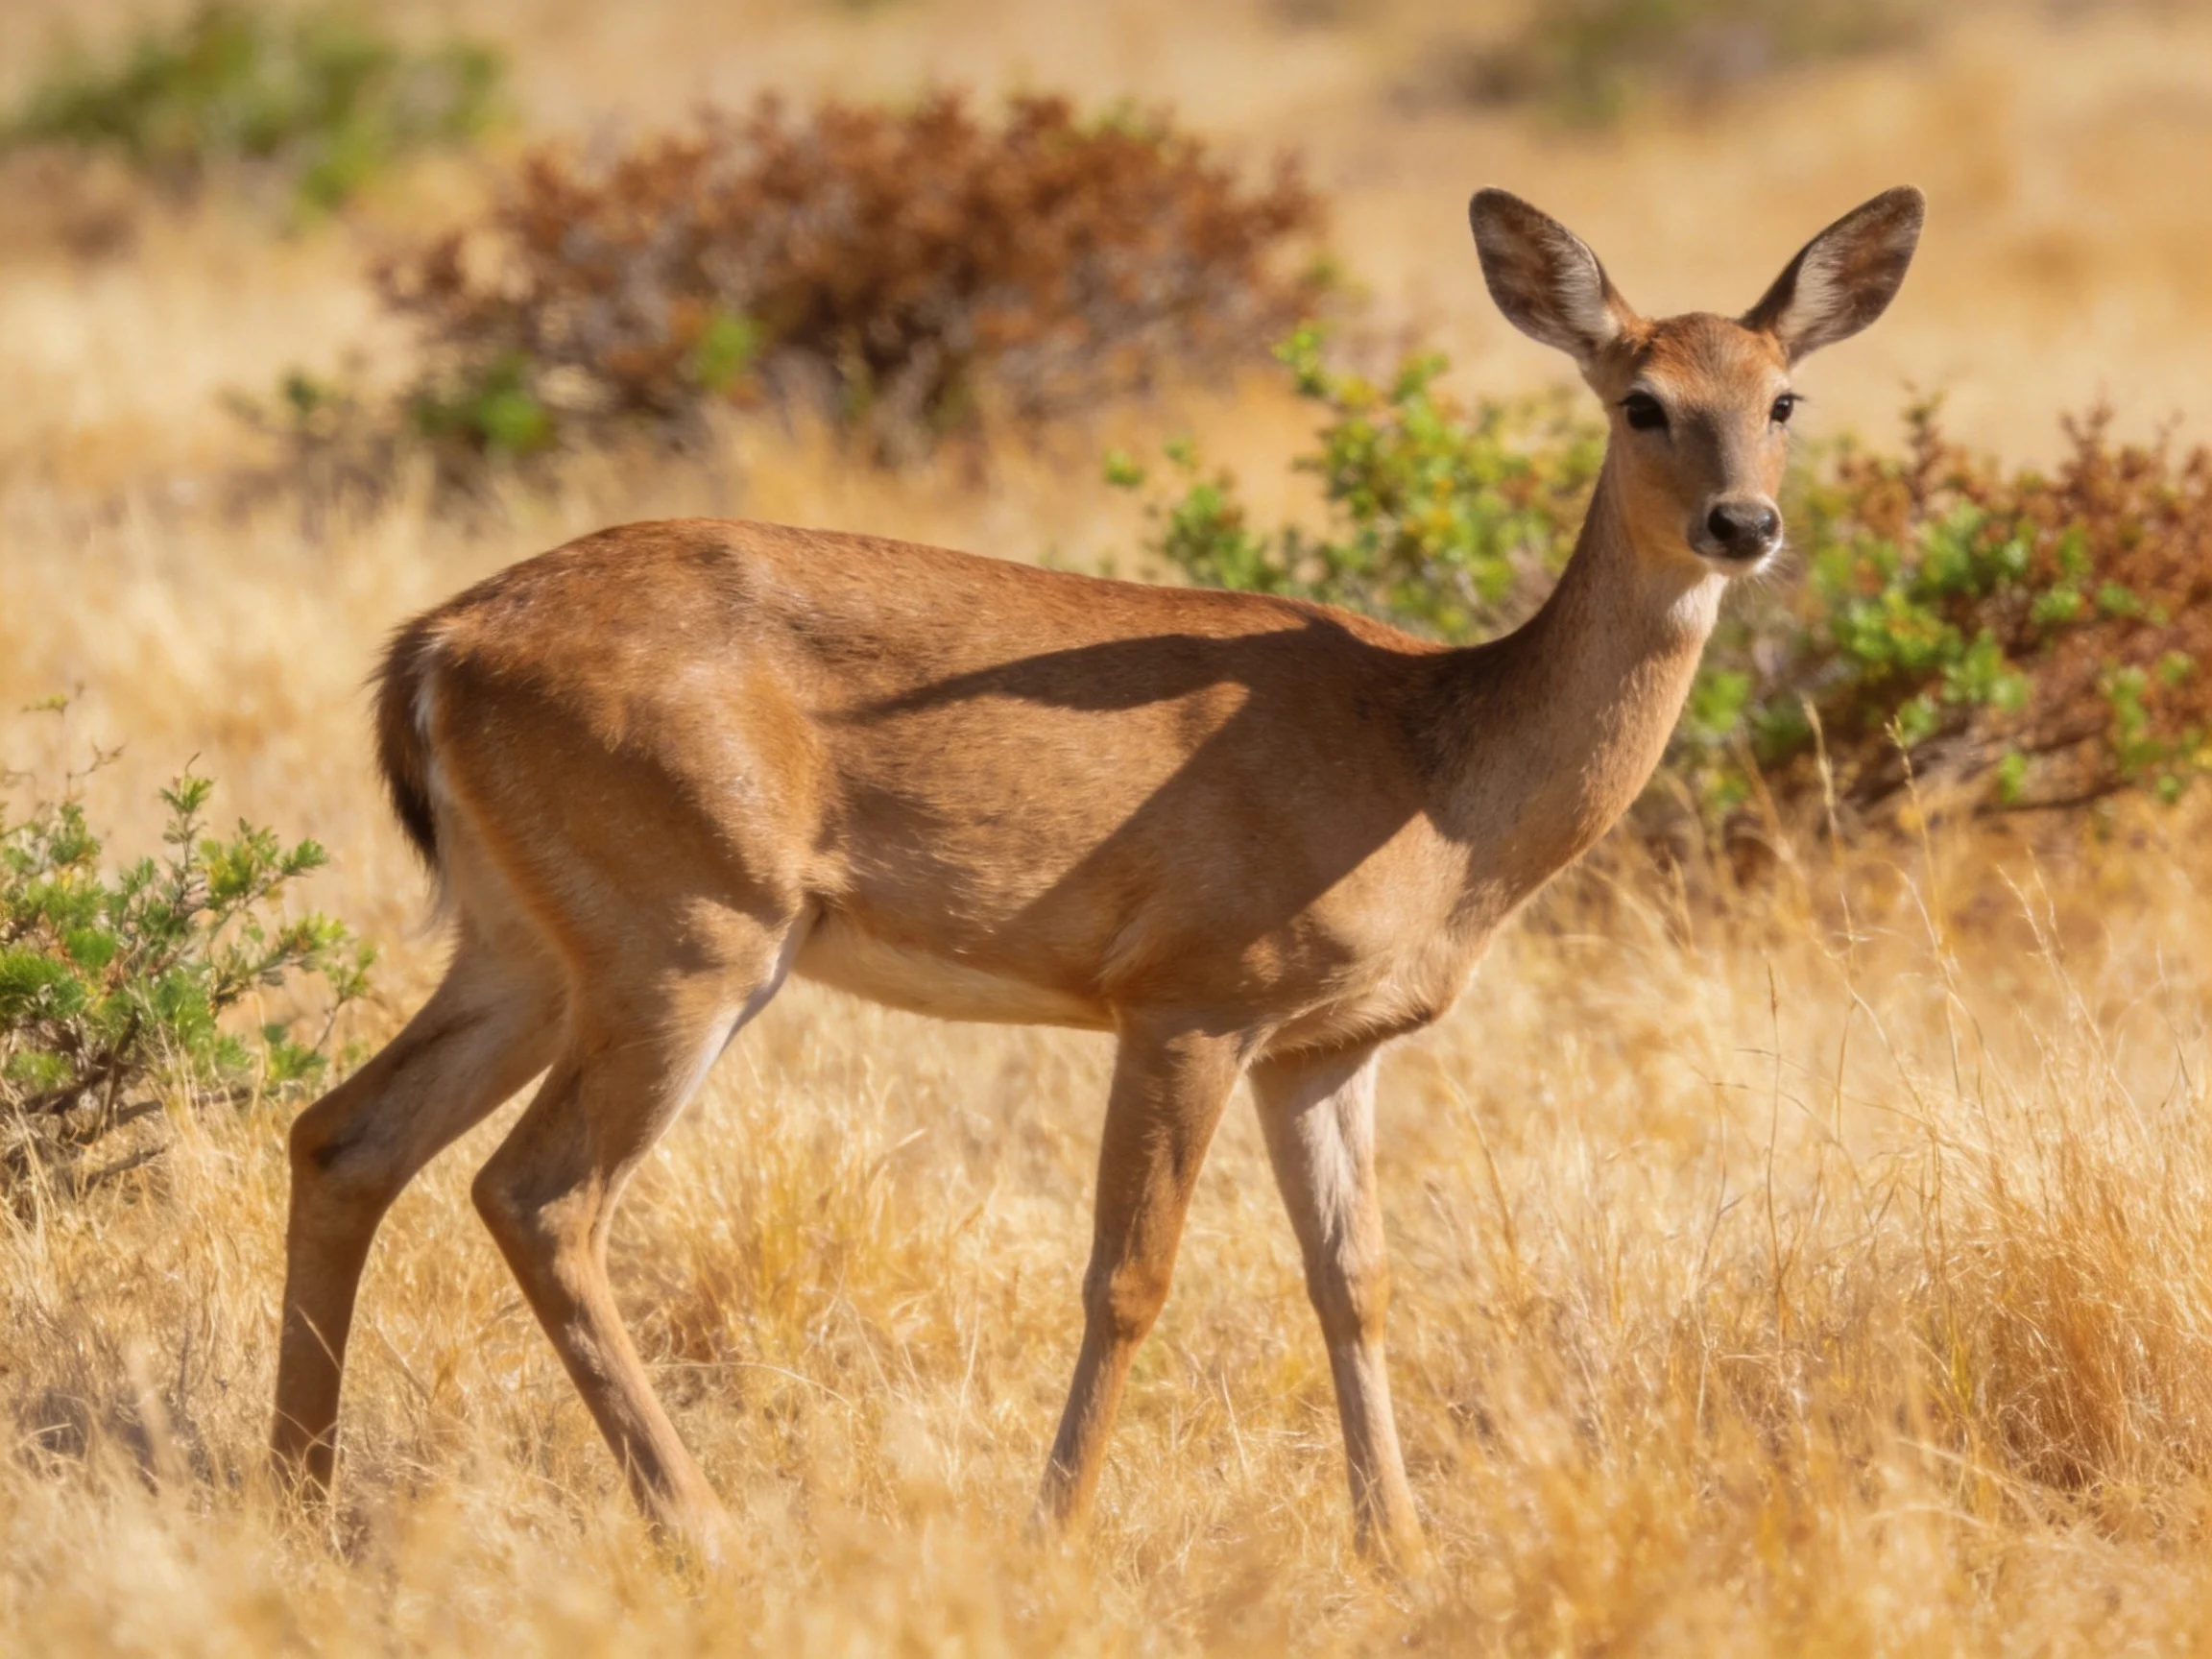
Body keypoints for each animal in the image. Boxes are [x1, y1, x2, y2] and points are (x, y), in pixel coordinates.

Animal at [272, 185, 1923, 1566]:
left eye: (1782, 396)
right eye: (1641, 400)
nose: (1745, 523)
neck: (1438, 772)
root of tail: (437, 646)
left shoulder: (1325, 1047)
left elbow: (1357, 1279)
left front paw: (1398, 1547)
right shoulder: (1188, 996)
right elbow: (1132, 1276)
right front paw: (1053, 1532)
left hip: (527, 945)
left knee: (346, 1135)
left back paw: (296, 1497)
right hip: (688, 936)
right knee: (538, 1194)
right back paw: (703, 1527)